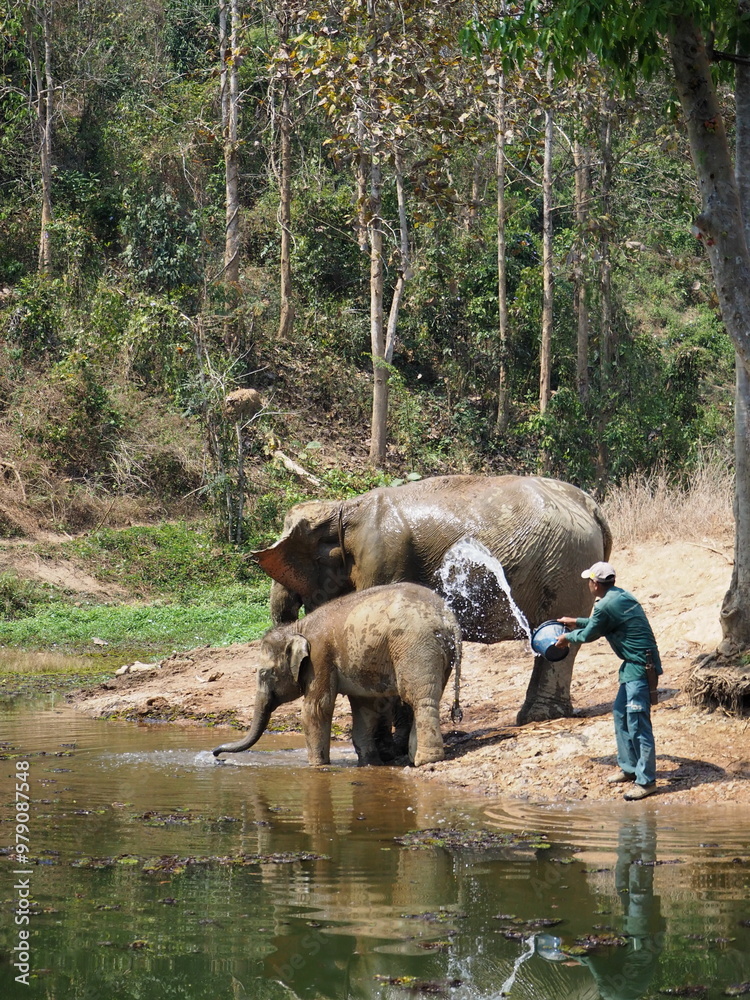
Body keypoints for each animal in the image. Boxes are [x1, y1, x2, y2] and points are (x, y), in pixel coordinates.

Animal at [212, 582, 462, 767]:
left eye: (265, 673)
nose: (216, 754)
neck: (297, 628)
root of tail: (449, 618)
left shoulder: (320, 658)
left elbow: (316, 708)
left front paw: (316, 766)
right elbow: (365, 708)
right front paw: (369, 763)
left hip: (416, 646)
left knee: (419, 698)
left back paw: (425, 760)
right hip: (438, 652)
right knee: (430, 696)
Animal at [253, 474, 612, 724]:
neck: (343, 508)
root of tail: (592, 506)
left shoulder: (381, 558)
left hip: (566, 565)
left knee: (559, 638)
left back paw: (537, 717)